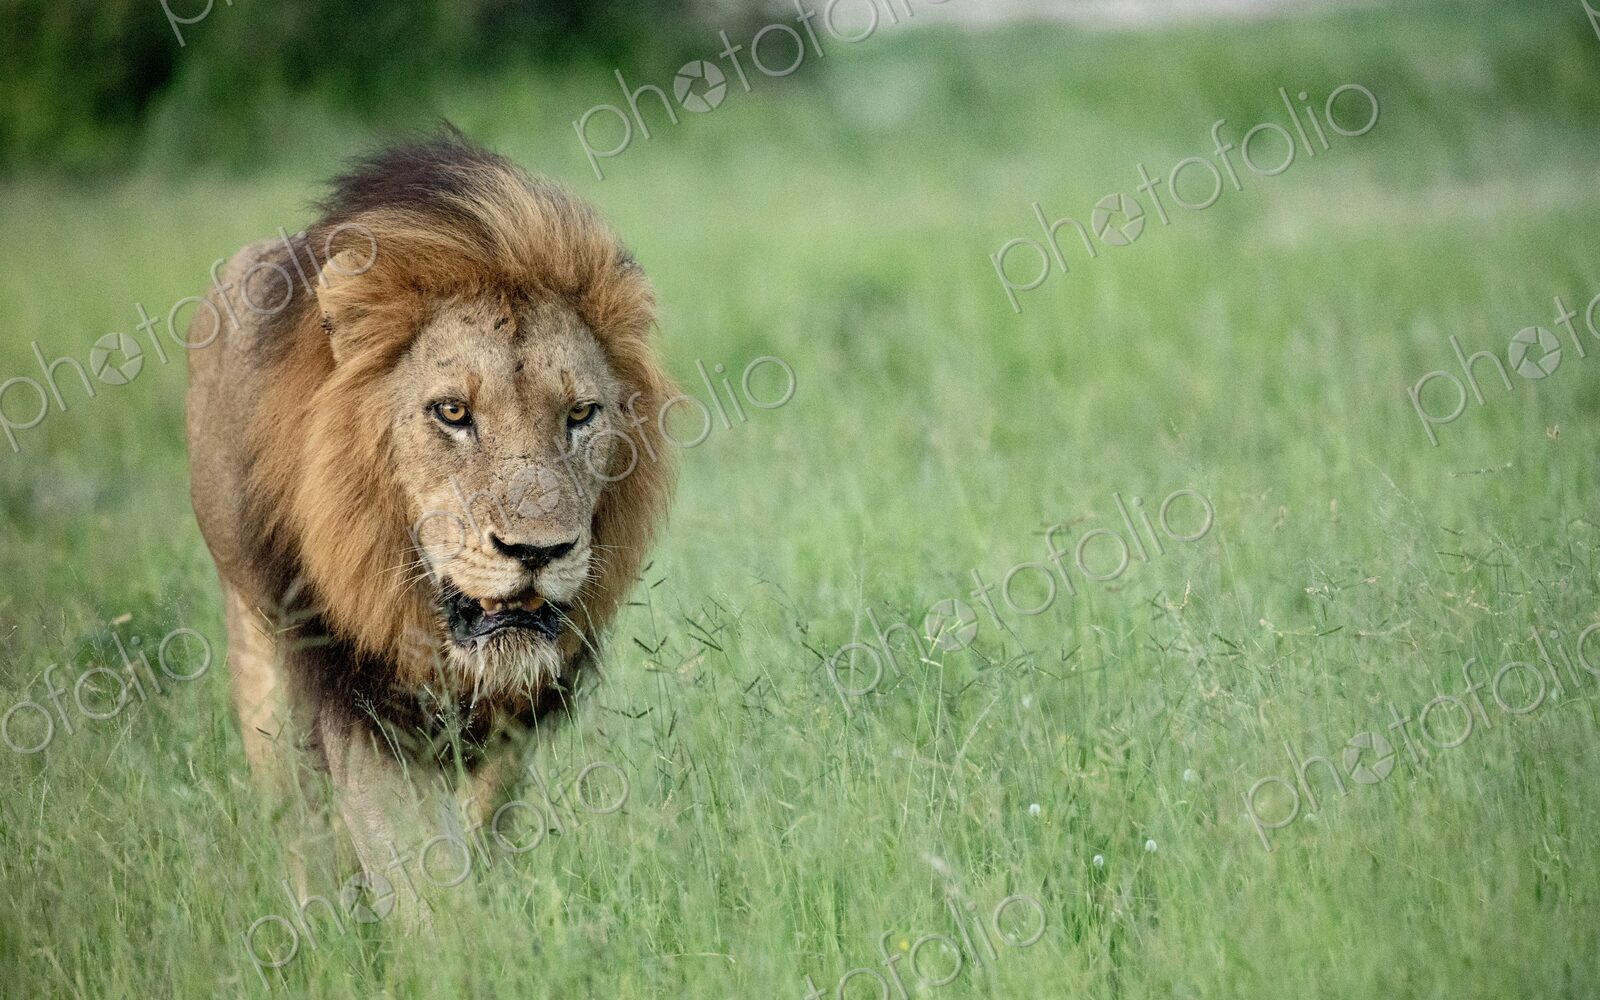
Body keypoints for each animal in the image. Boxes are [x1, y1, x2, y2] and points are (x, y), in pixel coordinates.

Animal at [184, 131, 676, 899]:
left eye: (580, 415)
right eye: (451, 412)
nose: (537, 552)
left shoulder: (516, 711)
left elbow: (482, 821)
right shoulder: (359, 694)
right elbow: (423, 876)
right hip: (258, 634)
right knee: (296, 814)